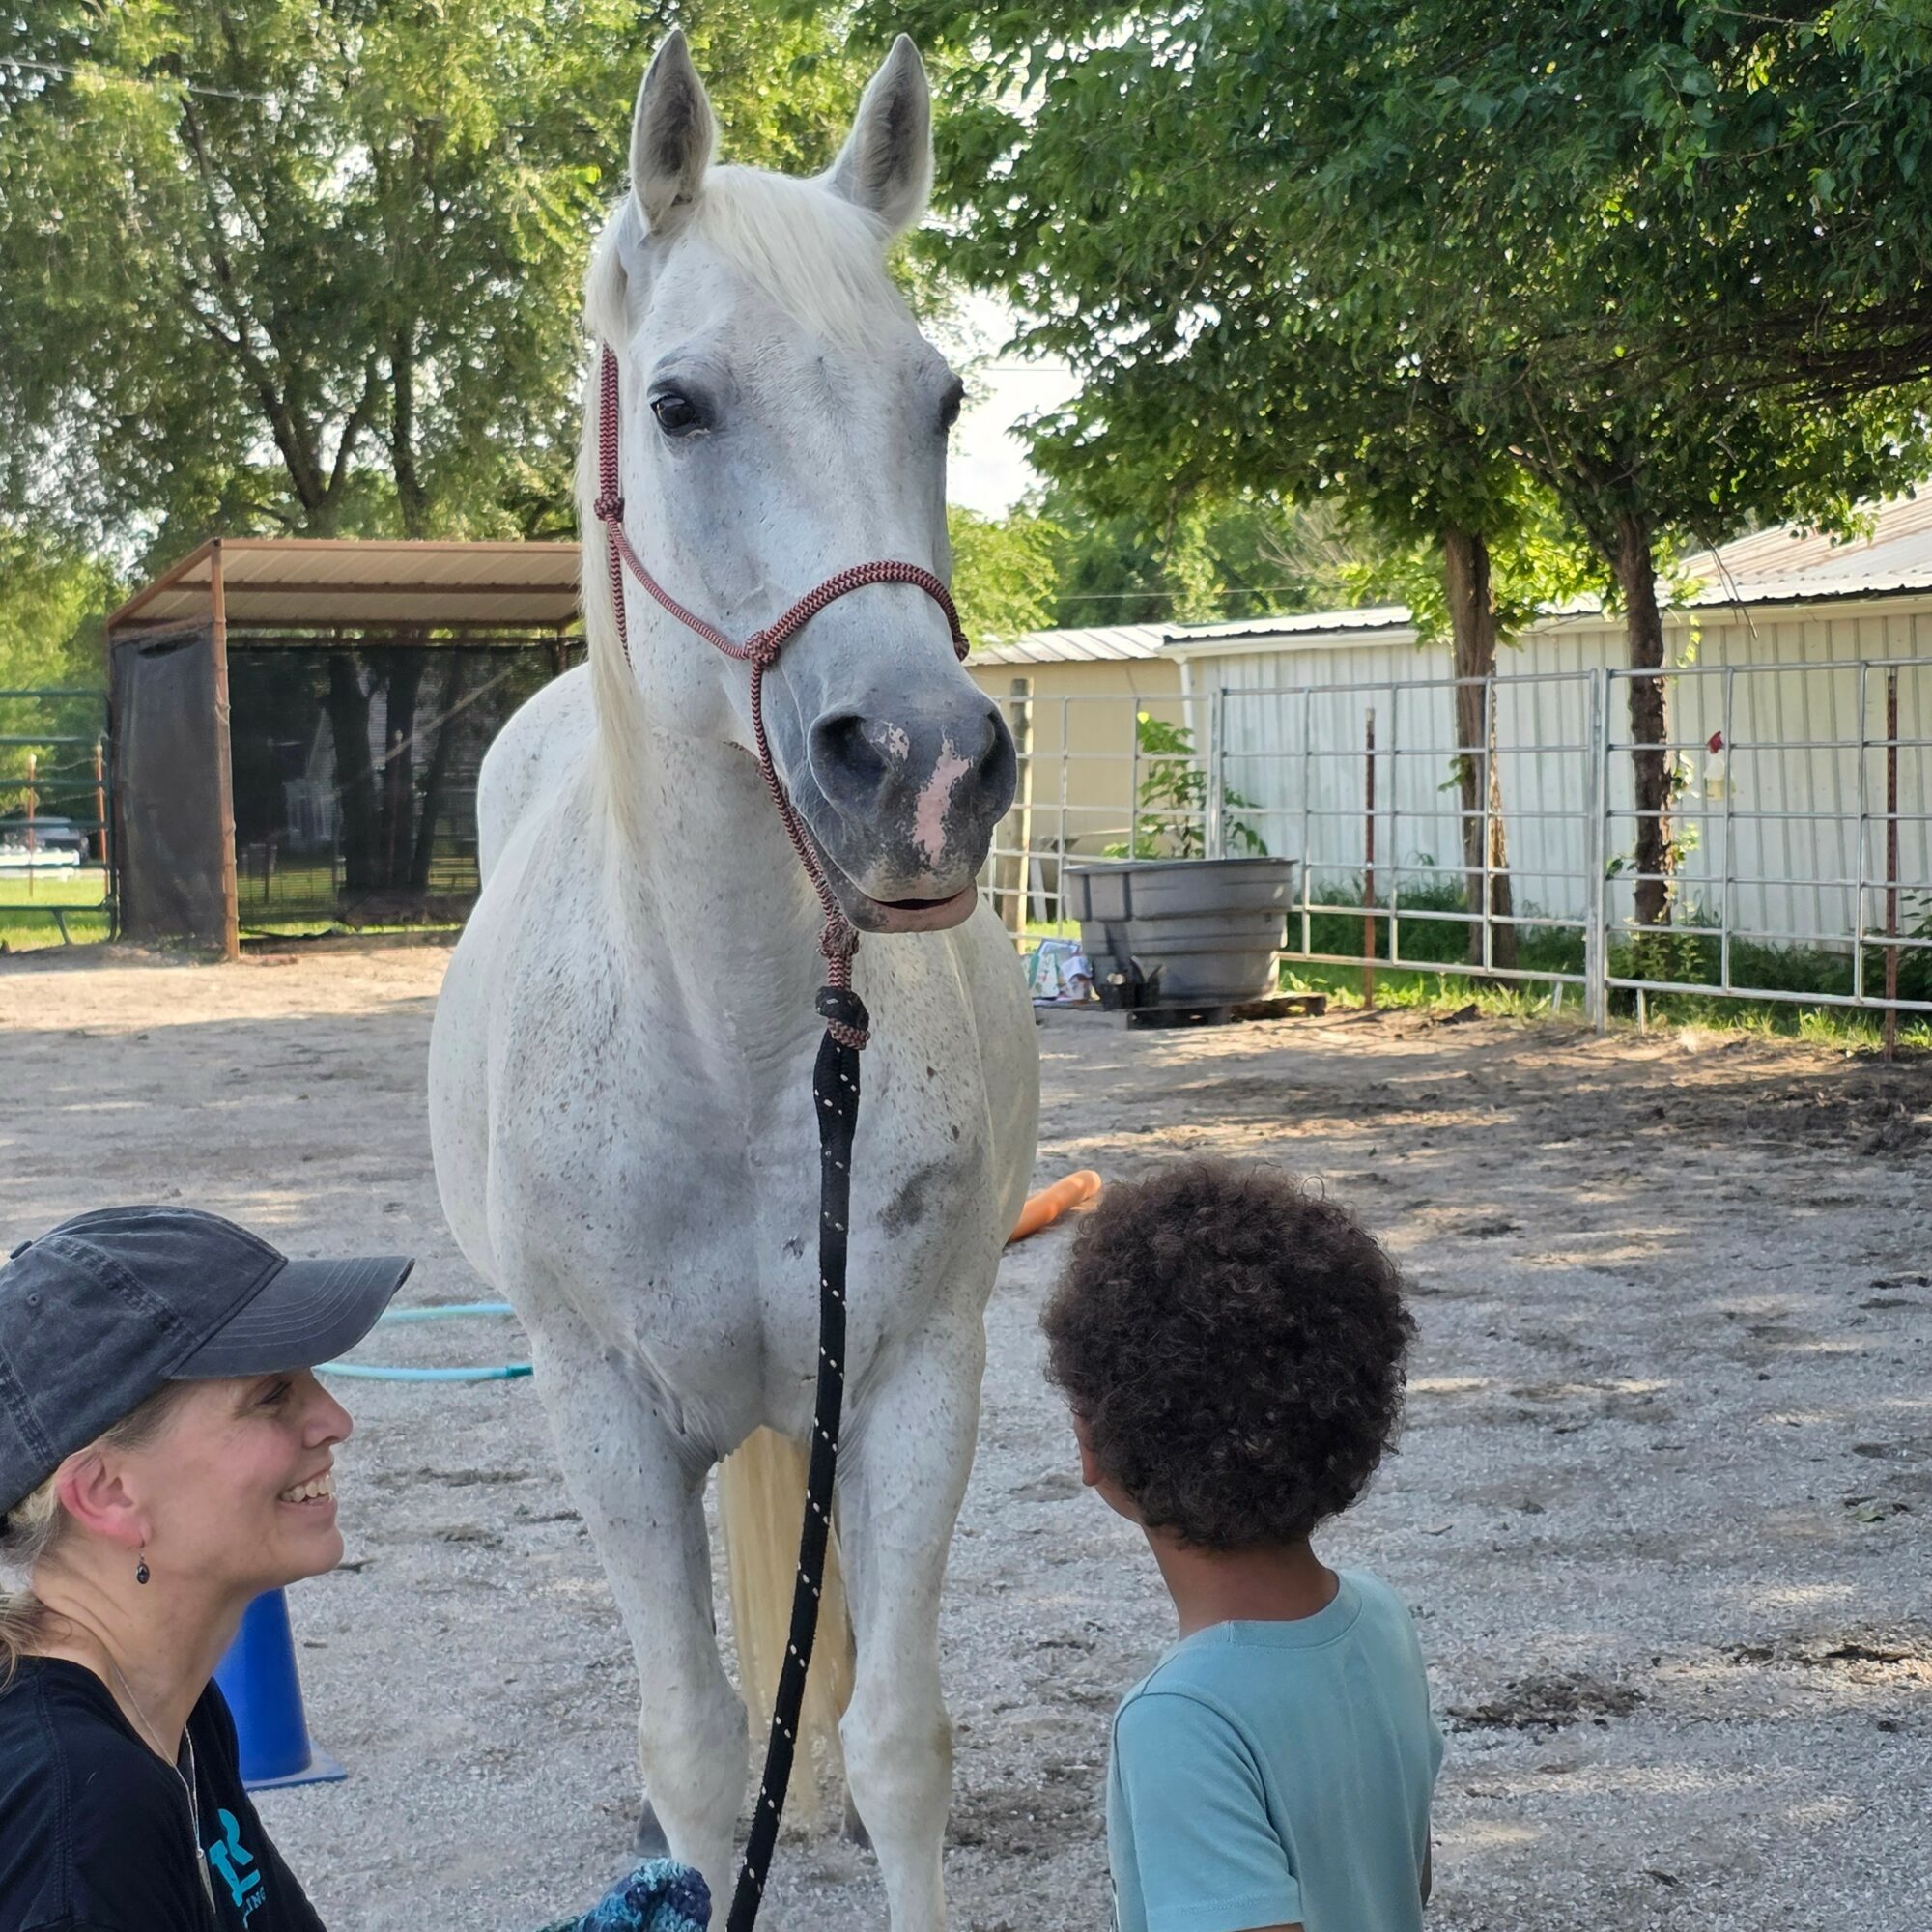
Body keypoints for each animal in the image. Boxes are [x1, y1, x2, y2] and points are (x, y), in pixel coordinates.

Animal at [427, 31, 1040, 1930]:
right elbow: (697, 1759)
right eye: (683, 405)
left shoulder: (914, 1383)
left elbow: (903, 1741)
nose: (922, 767)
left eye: (942, 401)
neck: (745, 1051)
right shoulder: (608, 1419)